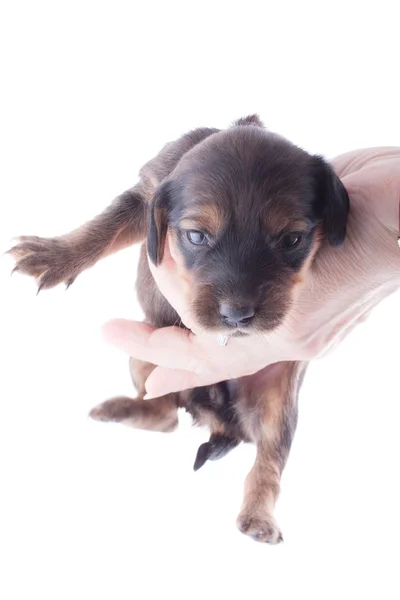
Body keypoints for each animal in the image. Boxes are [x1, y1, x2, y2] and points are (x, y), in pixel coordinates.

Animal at [8, 116, 346, 544]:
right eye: (197, 236)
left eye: (292, 239)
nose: (237, 315)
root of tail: (211, 412)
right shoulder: (144, 195)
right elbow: (104, 226)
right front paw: (54, 255)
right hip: (143, 358)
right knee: (163, 413)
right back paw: (122, 410)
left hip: (279, 402)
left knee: (268, 461)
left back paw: (259, 517)